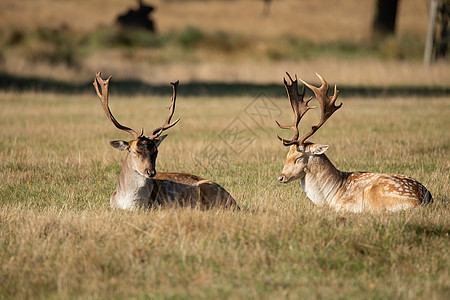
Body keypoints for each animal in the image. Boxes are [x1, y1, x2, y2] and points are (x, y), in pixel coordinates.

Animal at [92, 72, 239, 210]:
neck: (130, 204)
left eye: (156, 151)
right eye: (135, 151)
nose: (151, 172)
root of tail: (237, 205)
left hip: (209, 188)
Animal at [276, 72, 434, 213]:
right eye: (287, 155)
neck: (329, 195)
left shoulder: (344, 205)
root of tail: (424, 199)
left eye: (298, 157)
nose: (280, 177)